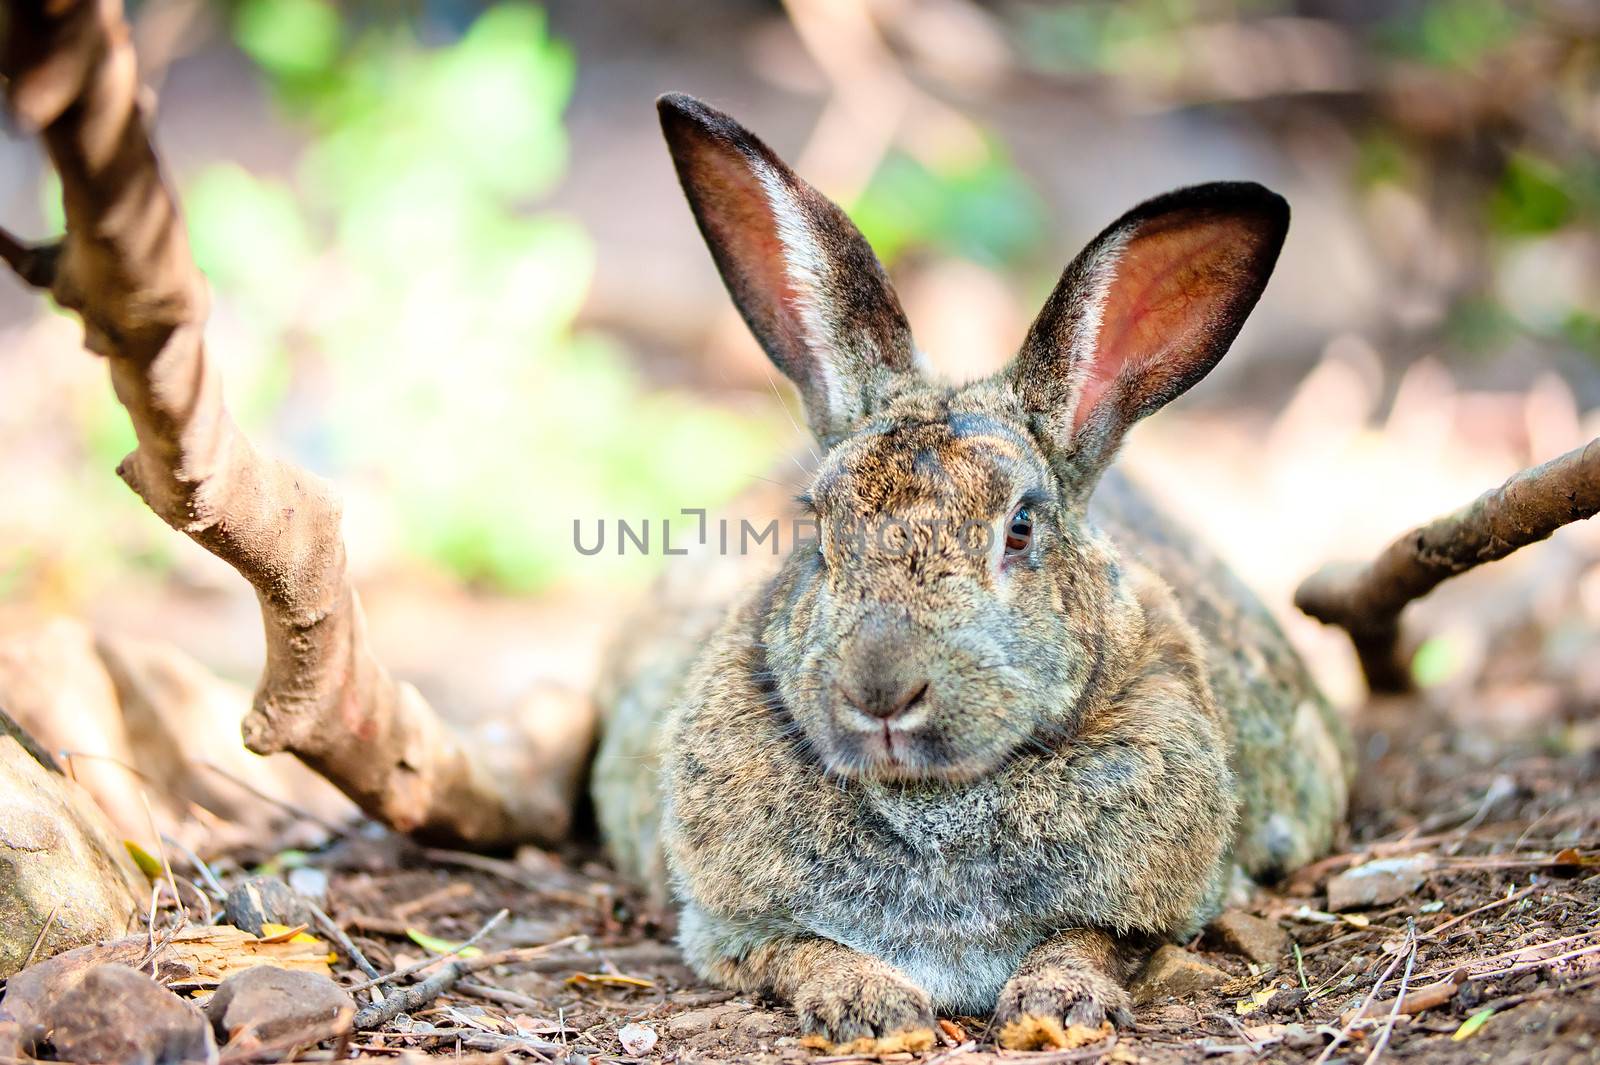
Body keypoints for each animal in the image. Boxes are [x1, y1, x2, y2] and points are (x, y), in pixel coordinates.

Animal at [592, 95, 1350, 1049]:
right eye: (818, 525)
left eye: (1019, 528)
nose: (881, 688)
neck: (932, 796)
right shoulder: (729, 929)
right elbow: (800, 948)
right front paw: (871, 1007)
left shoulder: (1164, 906)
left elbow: (1090, 937)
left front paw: (1057, 1004)